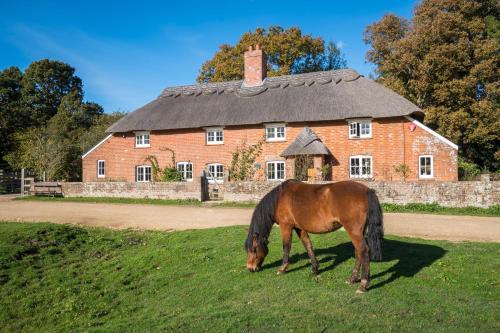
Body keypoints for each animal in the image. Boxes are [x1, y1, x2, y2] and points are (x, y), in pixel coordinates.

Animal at [245, 180, 382, 292]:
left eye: (254, 249)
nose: (250, 268)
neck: (279, 198)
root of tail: (366, 190)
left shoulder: (286, 226)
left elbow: (286, 246)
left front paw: (282, 268)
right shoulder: (299, 228)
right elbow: (308, 245)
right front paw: (315, 269)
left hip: (353, 231)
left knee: (363, 251)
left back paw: (363, 285)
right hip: (358, 232)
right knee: (358, 252)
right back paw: (352, 279)